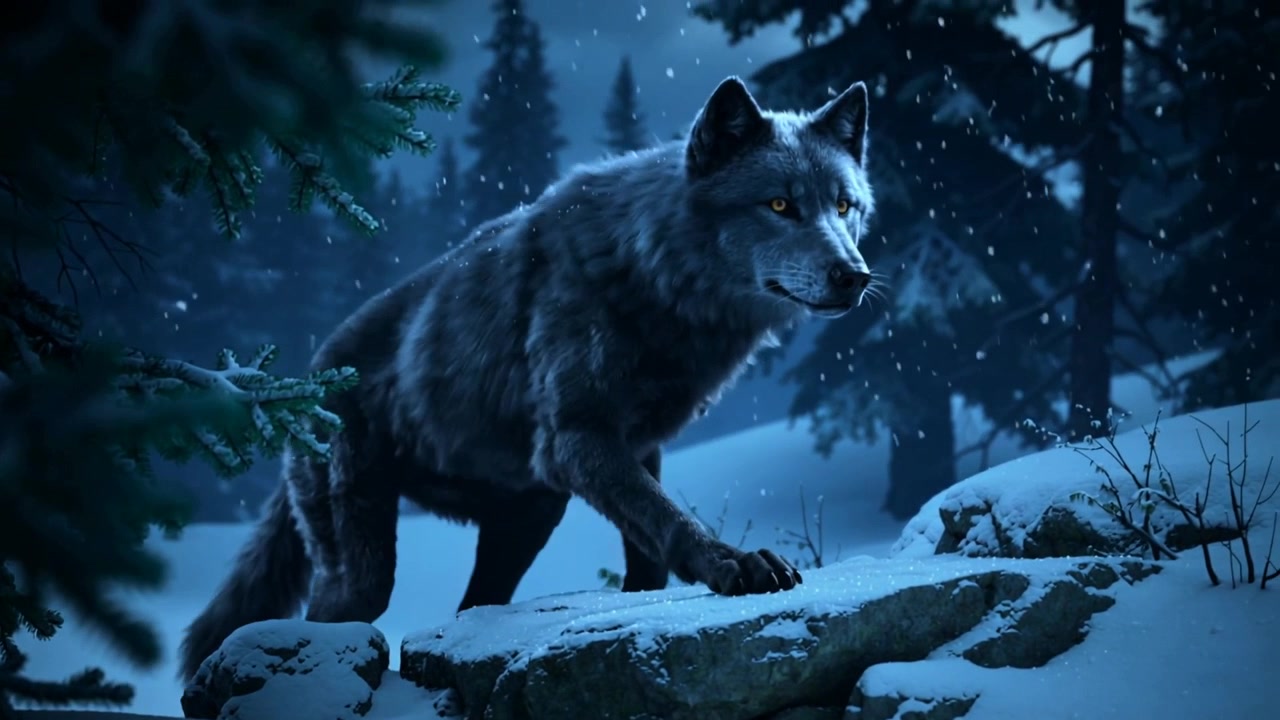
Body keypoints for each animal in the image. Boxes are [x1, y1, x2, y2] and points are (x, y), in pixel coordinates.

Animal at [178, 76, 876, 679]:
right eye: (780, 204)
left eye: (845, 206)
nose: (855, 275)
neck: (654, 279)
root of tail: (306, 377)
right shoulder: (577, 436)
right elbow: (670, 517)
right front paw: (735, 563)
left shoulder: (641, 444)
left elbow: (648, 550)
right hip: (367, 566)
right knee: (335, 615)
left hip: (527, 517)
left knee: (470, 606)